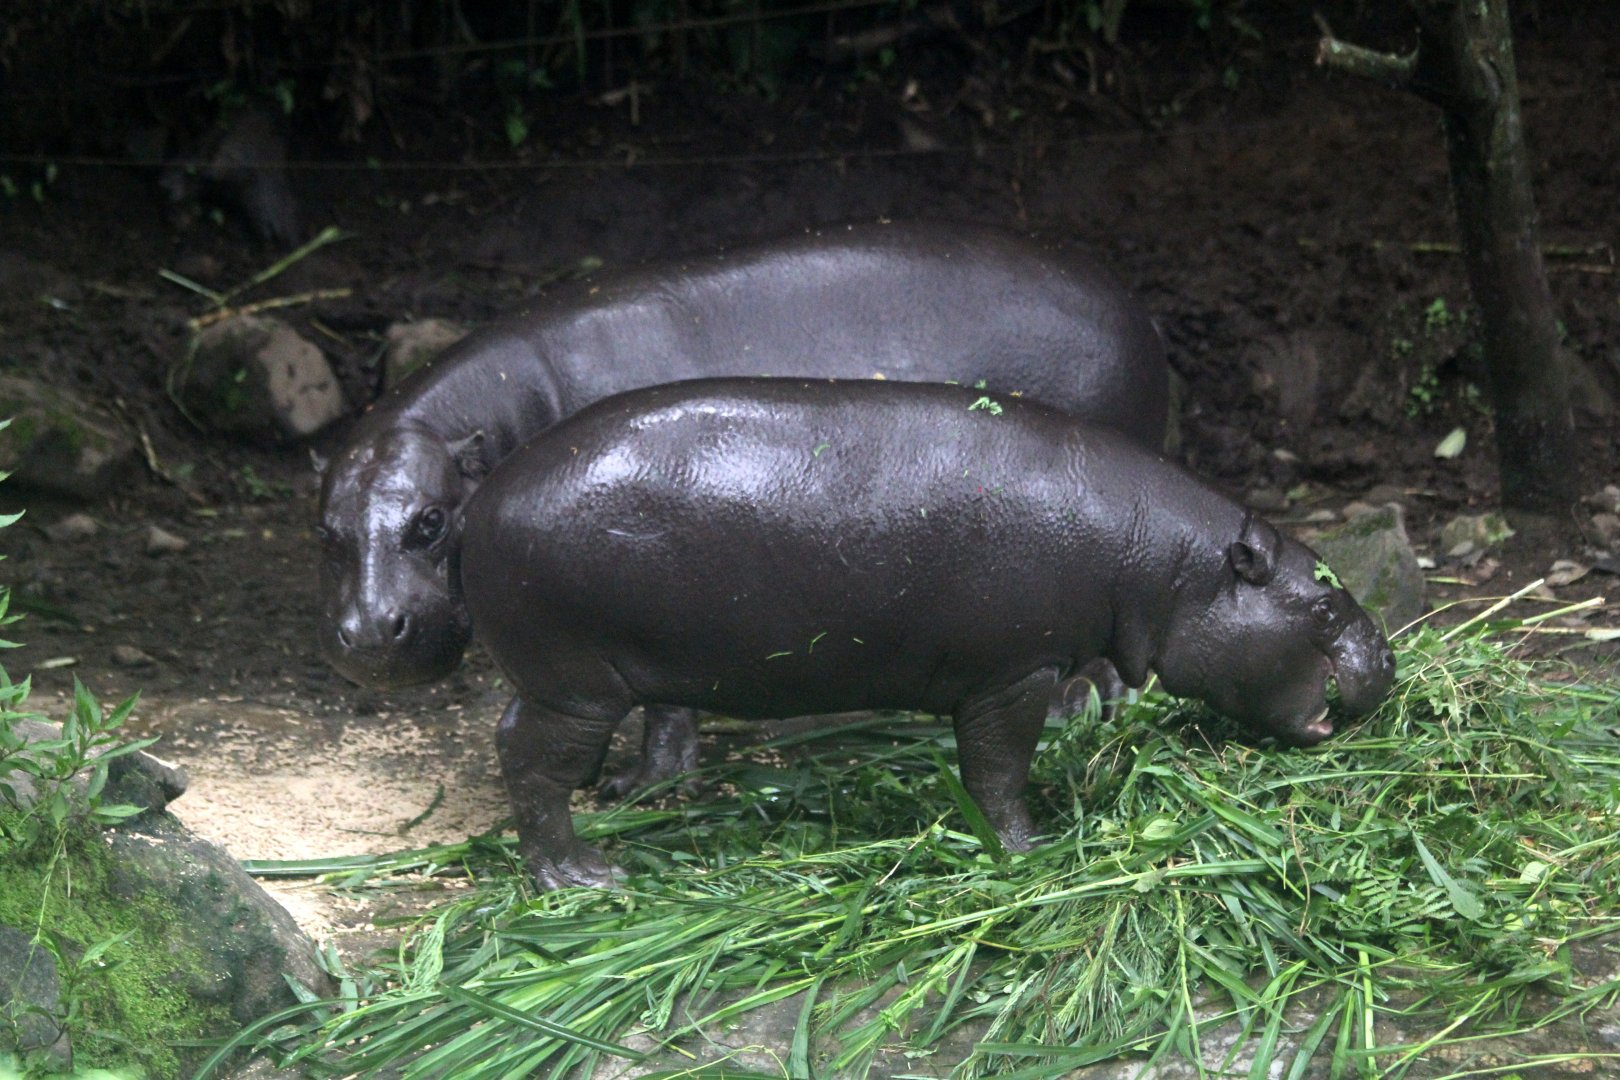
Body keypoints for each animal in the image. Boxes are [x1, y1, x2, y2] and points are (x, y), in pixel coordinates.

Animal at [458, 378, 1397, 890]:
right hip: (576, 684)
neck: (1164, 561)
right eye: (1322, 607)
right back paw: (585, 876)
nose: (1389, 658)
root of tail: (481, 498)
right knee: (529, 761)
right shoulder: (1014, 672)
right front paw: (1031, 847)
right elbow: (997, 769)